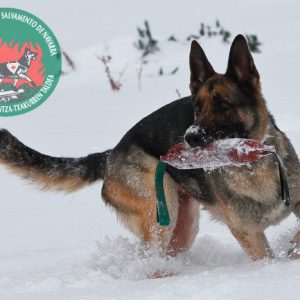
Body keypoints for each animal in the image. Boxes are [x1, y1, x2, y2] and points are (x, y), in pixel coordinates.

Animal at [0, 35, 300, 262]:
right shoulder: (247, 231)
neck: (253, 165)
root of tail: (111, 154)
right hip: (159, 212)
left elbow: (295, 239)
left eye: (223, 104)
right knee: (151, 261)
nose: (189, 137)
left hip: (182, 226)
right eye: (197, 107)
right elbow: (267, 259)